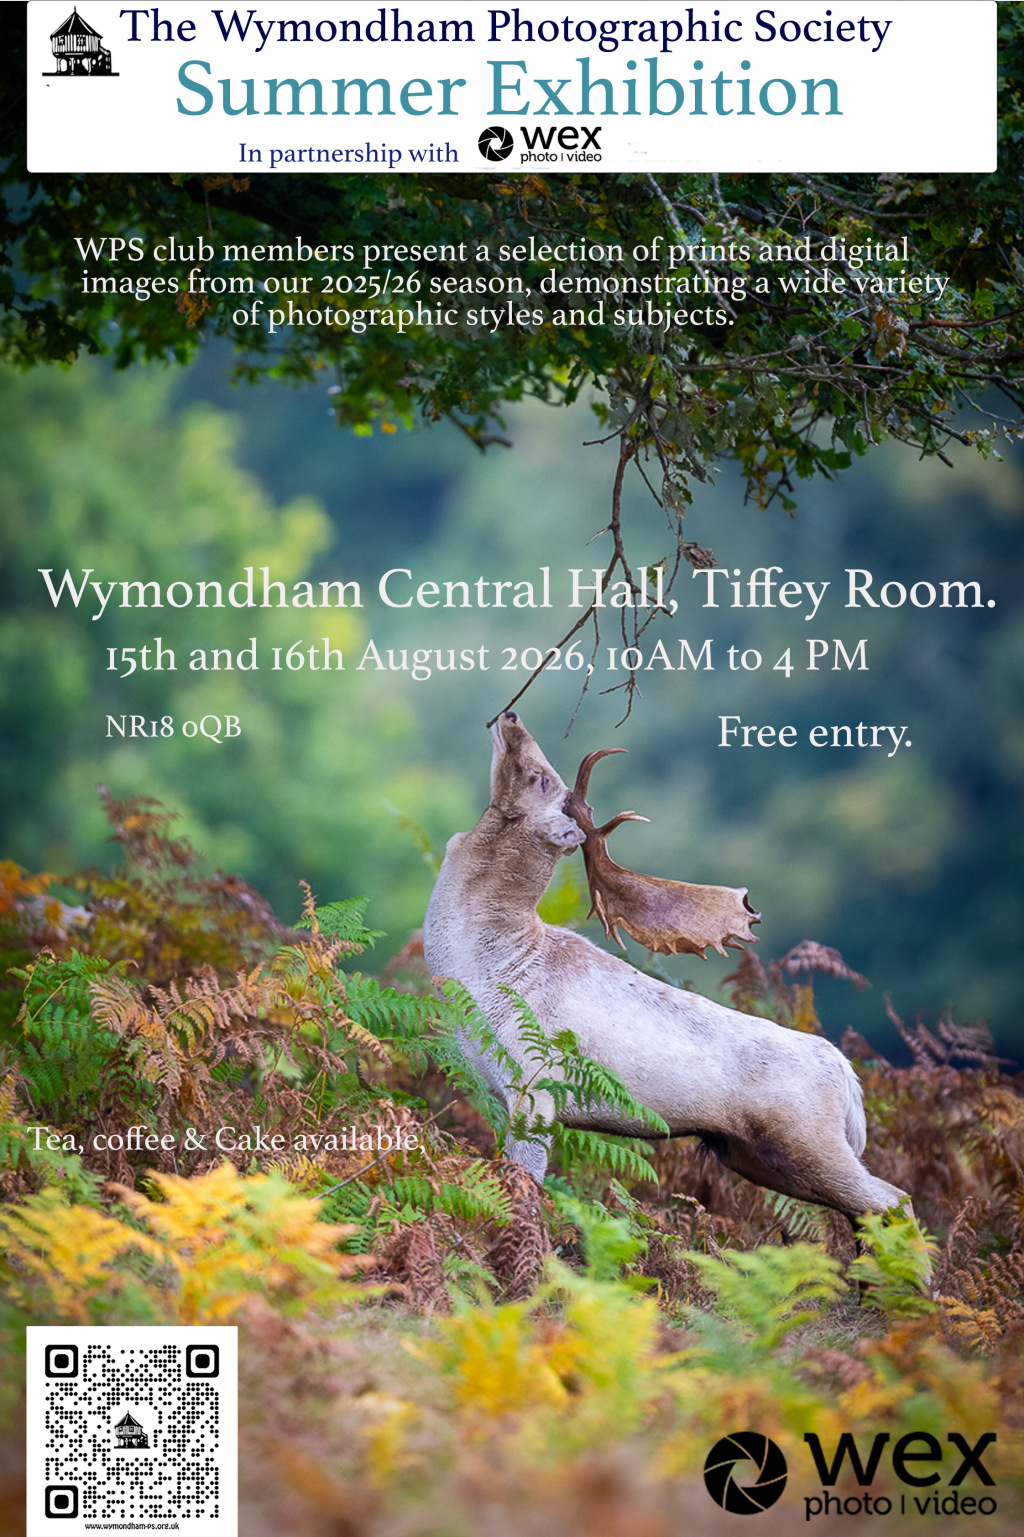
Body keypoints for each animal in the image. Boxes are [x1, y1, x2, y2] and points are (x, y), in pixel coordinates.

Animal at [423, 711, 910, 1225]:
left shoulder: (536, 1087)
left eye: (541, 778)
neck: (485, 967)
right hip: (755, 1156)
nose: (511, 715)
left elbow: (526, 1180)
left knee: (893, 1198)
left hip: (808, 1141)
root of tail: (847, 1075)